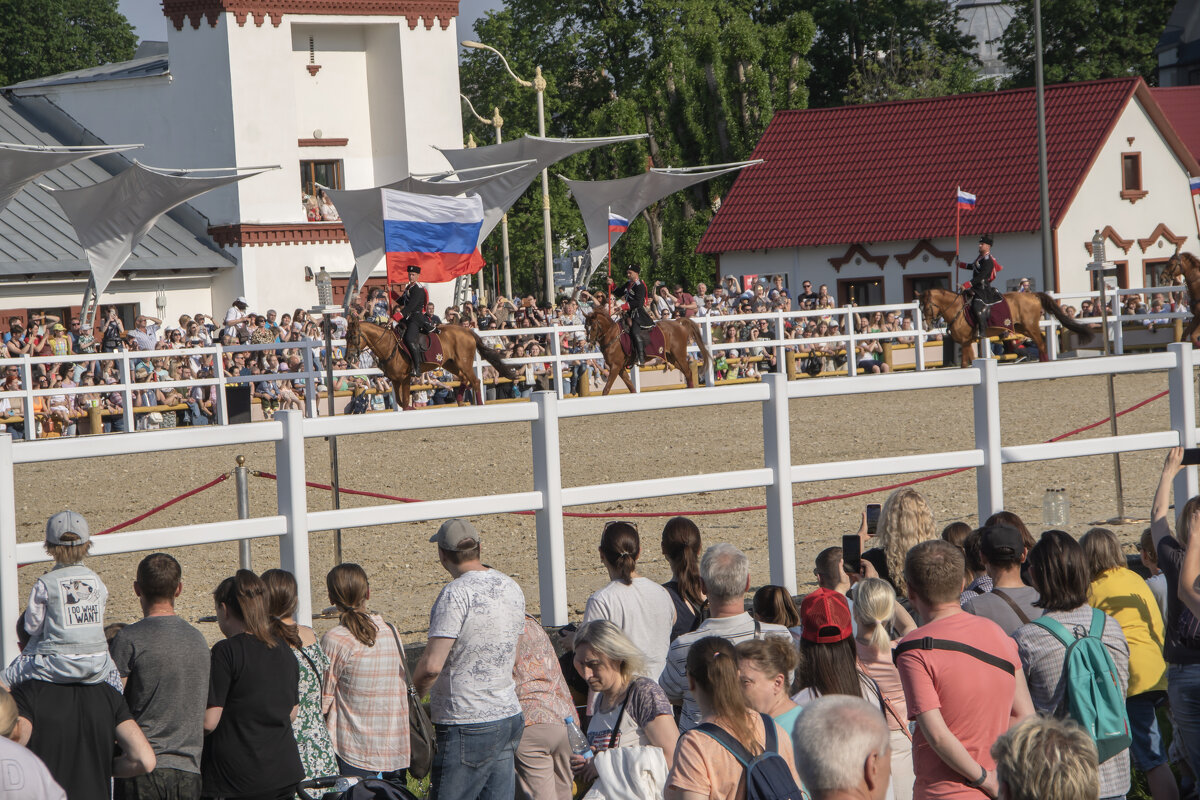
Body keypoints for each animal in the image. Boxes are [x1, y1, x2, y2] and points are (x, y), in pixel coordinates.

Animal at [348, 316, 516, 410]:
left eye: (354, 336)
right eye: (346, 336)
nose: (349, 358)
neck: (389, 345)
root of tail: (467, 331)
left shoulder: (405, 378)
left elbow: (405, 402)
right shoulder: (395, 380)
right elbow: (400, 402)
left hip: (464, 363)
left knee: (475, 381)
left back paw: (479, 404)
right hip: (451, 364)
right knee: (464, 379)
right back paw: (460, 402)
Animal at [916, 287, 1099, 369]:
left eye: (927, 307)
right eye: (919, 308)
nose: (926, 326)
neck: (958, 310)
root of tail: (1032, 295)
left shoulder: (965, 341)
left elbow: (963, 363)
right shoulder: (967, 342)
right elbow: (969, 361)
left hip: (1029, 326)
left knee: (1040, 342)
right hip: (1022, 327)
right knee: (1041, 340)